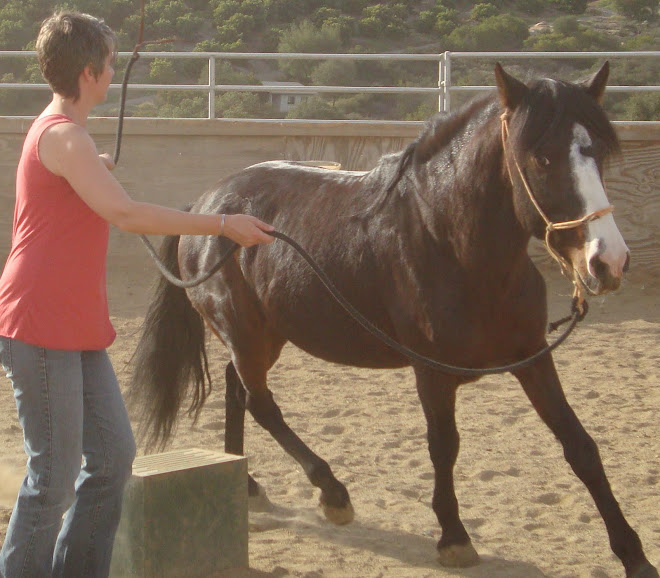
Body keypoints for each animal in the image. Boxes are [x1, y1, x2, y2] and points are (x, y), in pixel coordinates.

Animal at [129, 63, 657, 577]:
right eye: (542, 158)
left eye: (598, 153)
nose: (607, 261)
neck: (452, 247)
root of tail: (205, 207)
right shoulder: (432, 372)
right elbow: (443, 445)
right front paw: (453, 538)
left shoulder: (532, 359)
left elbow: (580, 446)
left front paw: (633, 553)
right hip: (245, 333)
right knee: (261, 403)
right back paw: (332, 492)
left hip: (265, 336)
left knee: (237, 388)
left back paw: (249, 485)